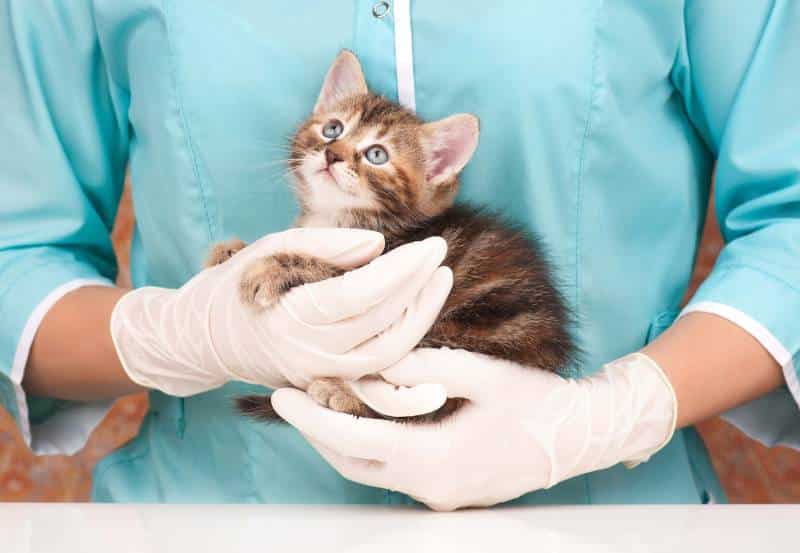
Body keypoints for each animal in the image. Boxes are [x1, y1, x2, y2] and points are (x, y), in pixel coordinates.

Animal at [209, 50, 576, 422]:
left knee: (424, 403)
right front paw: (229, 253)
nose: (332, 153)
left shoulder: (388, 269)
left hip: (465, 335)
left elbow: (327, 268)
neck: (334, 219)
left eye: (377, 155)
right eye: (332, 129)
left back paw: (342, 393)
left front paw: (270, 267)